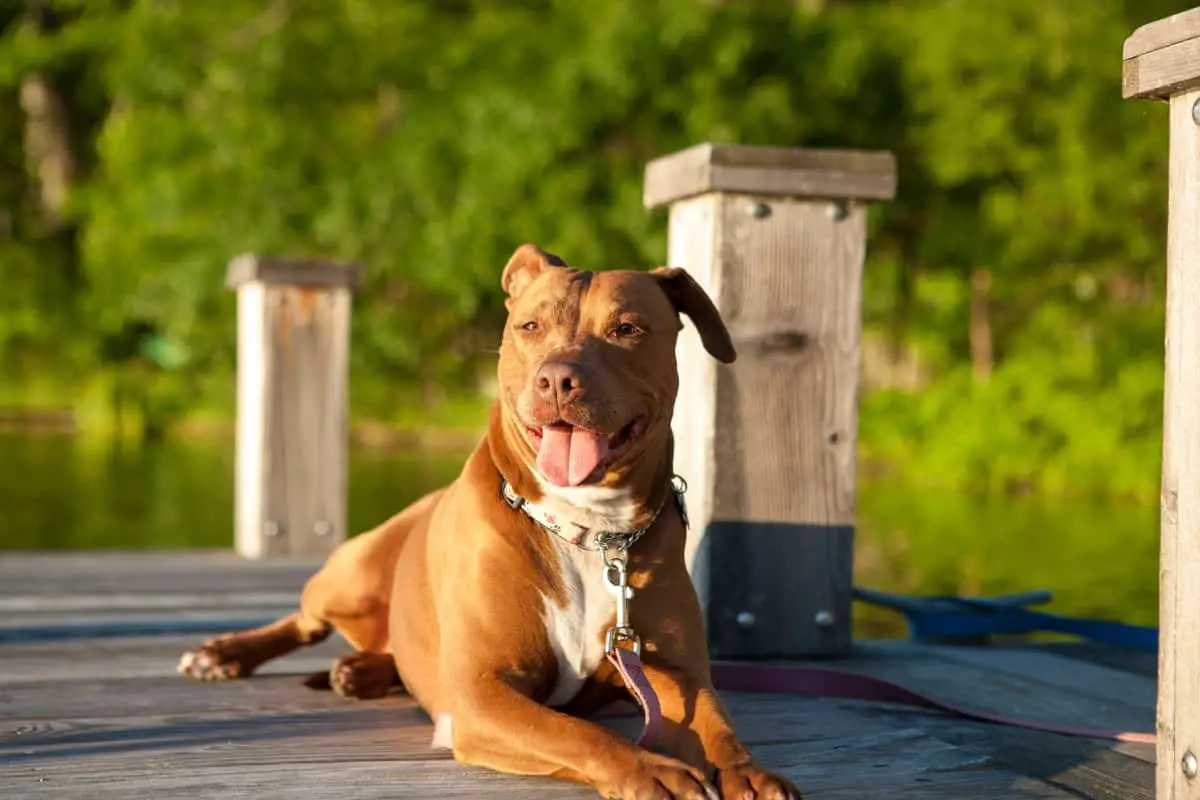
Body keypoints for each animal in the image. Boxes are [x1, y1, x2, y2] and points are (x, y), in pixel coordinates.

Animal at [177, 245, 801, 800]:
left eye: (627, 328)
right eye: (530, 326)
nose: (557, 379)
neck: (591, 531)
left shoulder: (679, 672)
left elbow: (718, 727)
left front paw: (749, 772)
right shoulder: (481, 696)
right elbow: (578, 733)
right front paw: (651, 770)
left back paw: (361, 670)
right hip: (352, 573)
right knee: (304, 620)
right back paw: (224, 654)